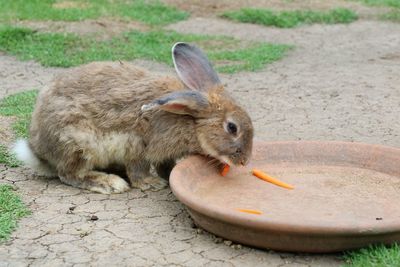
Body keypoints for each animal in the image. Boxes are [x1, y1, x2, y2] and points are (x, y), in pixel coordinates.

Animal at [14, 43, 253, 195]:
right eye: (232, 127)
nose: (244, 161)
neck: (190, 119)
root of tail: (40, 151)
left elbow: (166, 165)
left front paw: (167, 176)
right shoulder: (138, 144)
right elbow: (139, 168)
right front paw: (151, 183)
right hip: (77, 142)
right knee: (69, 174)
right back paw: (109, 183)